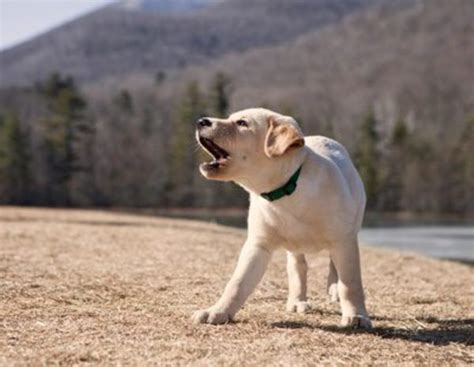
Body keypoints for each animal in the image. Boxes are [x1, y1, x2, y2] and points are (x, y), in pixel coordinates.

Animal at [192, 108, 370, 330]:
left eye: (242, 123)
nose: (201, 121)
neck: (286, 191)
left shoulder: (343, 240)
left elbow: (350, 283)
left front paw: (357, 315)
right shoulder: (258, 244)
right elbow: (237, 282)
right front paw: (218, 311)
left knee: (333, 265)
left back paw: (333, 288)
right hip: (295, 247)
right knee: (298, 268)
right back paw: (297, 301)